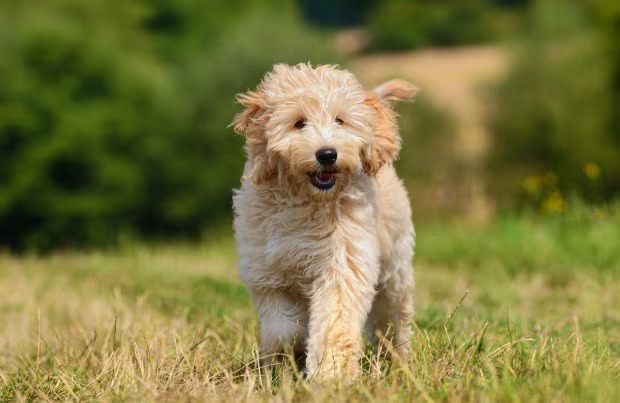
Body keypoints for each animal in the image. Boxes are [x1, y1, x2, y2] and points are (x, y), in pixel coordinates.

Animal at [231, 63, 416, 378]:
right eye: (299, 123)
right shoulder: (267, 273)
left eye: (340, 120)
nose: (327, 154)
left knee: (393, 313)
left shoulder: (343, 264)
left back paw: (397, 356)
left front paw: (331, 375)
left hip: (395, 264)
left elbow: (334, 323)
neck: (307, 202)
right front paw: (289, 354)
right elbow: (281, 328)